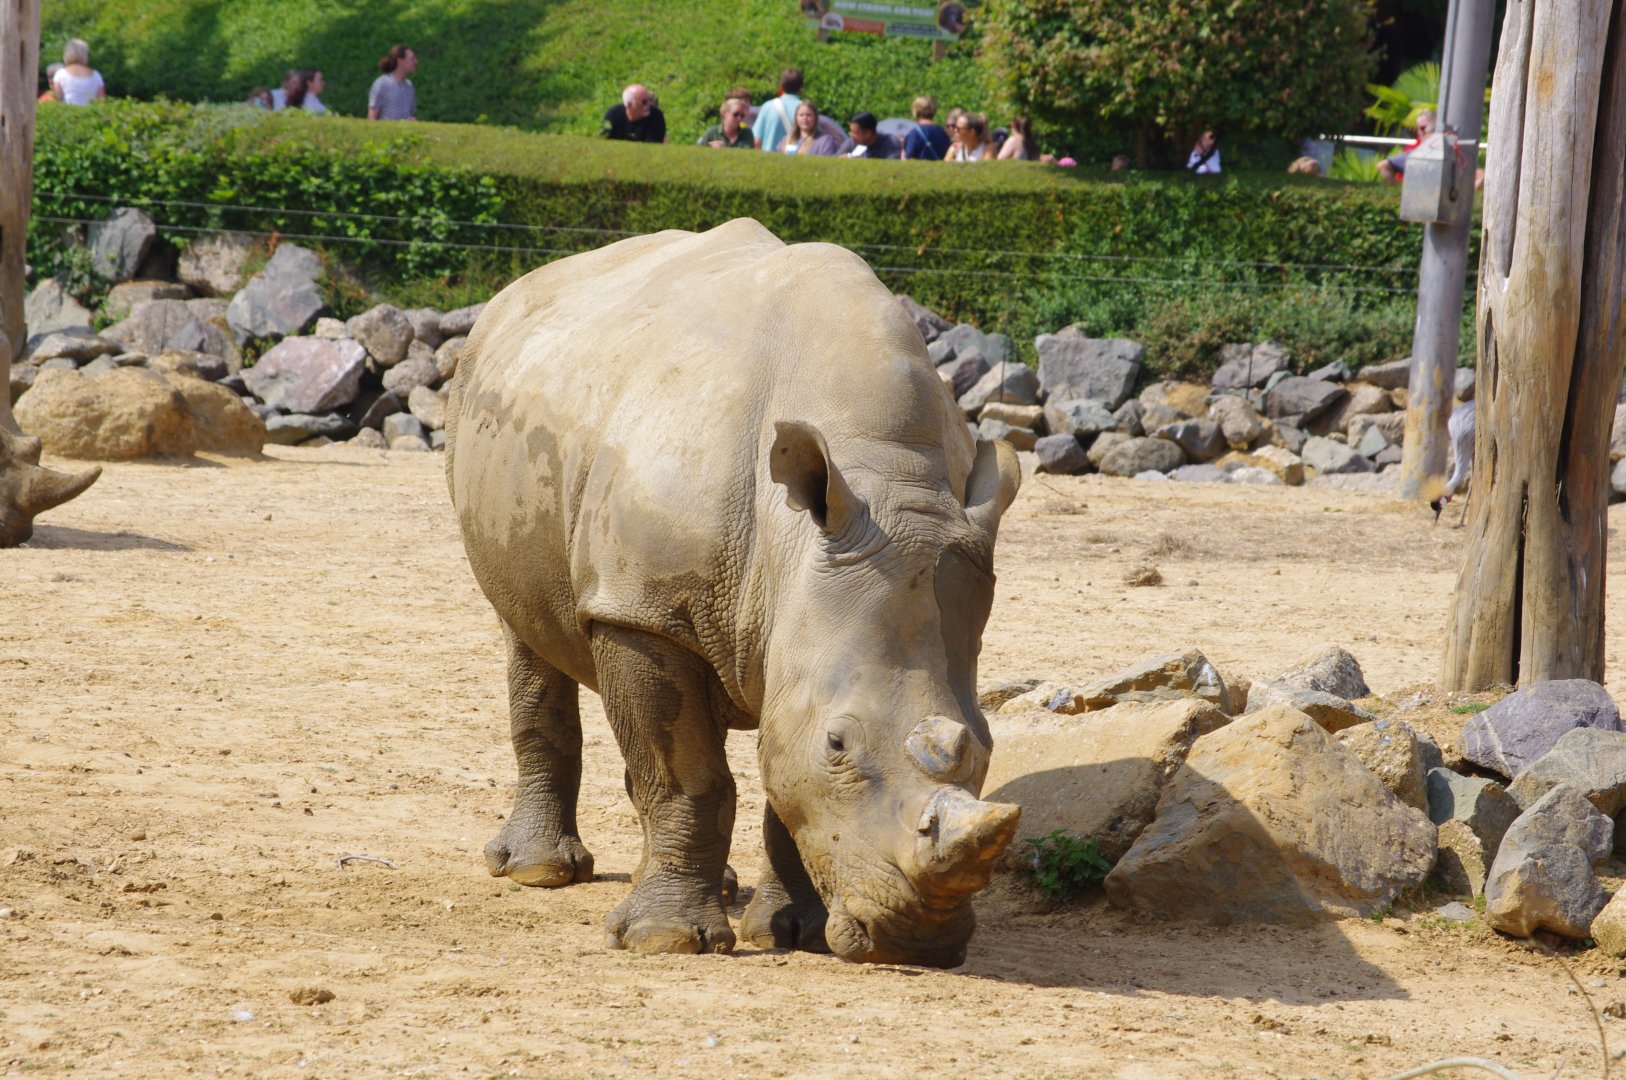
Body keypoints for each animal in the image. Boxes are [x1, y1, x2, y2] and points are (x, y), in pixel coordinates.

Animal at [444, 218, 1021, 967]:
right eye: (839, 744)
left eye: (984, 746)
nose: (919, 940)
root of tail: (514, 293)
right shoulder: (641, 610)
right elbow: (686, 776)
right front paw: (665, 942)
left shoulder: (803, 612)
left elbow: (780, 767)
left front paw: (793, 934)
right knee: (527, 632)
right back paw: (538, 872)